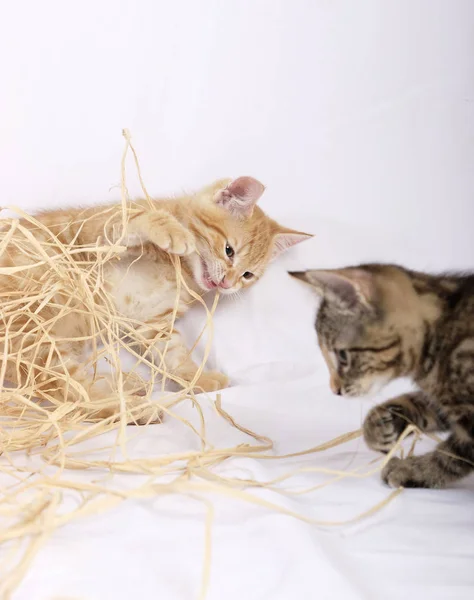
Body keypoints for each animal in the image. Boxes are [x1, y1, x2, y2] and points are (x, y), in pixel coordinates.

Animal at [0, 178, 312, 422]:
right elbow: (128, 221)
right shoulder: (91, 233)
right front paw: (170, 229)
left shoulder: (154, 320)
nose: (228, 283)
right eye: (229, 250)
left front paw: (198, 377)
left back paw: (129, 385)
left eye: (248, 275)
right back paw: (137, 409)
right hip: (33, 336)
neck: (180, 272)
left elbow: (174, 354)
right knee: (69, 391)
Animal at [288, 264, 474, 490]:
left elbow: (450, 457)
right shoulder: (442, 397)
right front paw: (379, 424)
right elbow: (418, 404)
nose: (335, 389)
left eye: (342, 356)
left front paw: (411, 470)